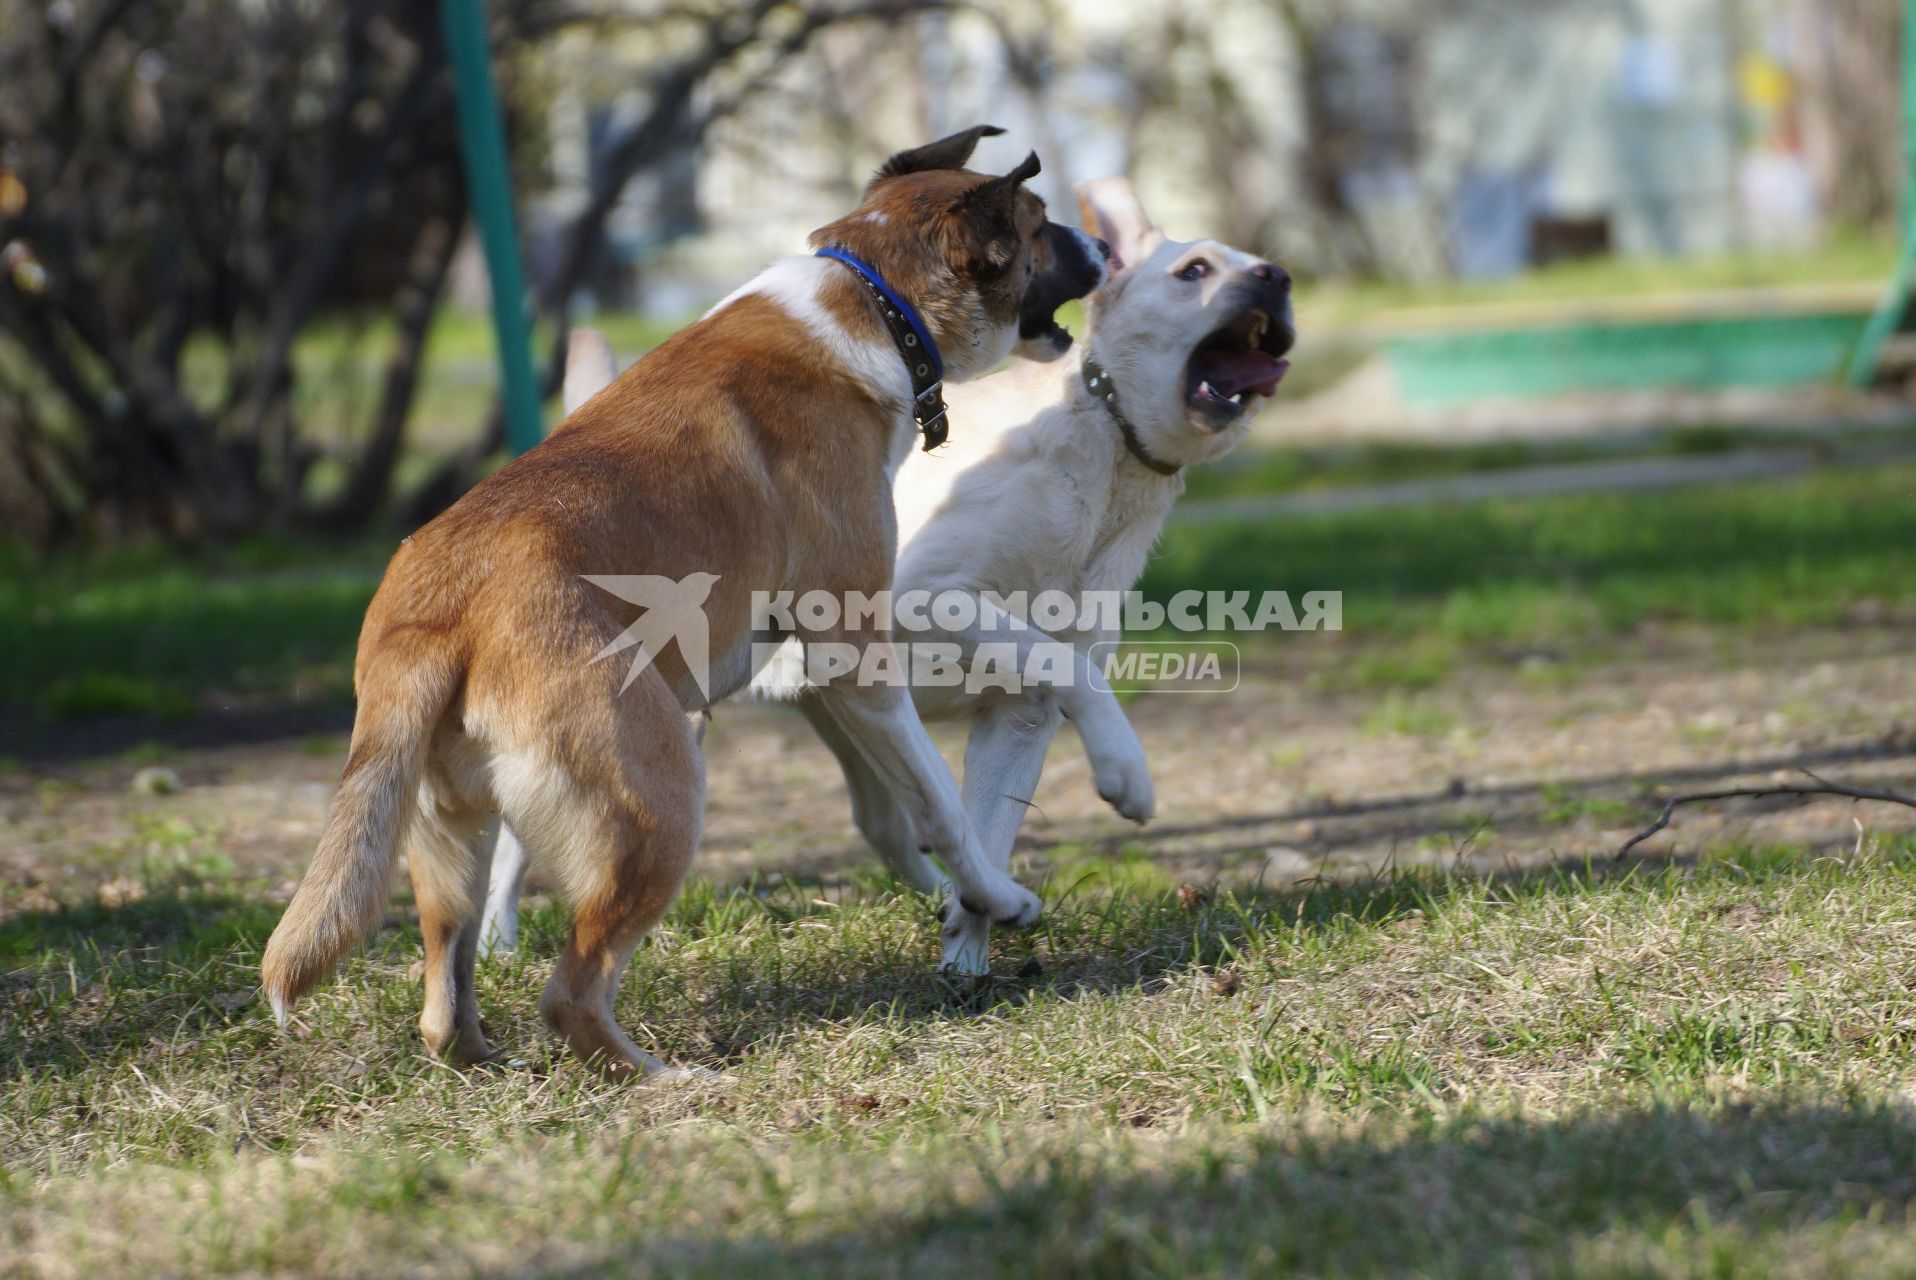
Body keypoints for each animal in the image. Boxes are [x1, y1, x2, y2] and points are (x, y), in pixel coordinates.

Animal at [266, 130, 1111, 1073]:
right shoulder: (855, 656)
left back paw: (495, 1061)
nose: (1104, 251)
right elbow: (942, 804)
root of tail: (432, 614)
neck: (873, 301)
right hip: (661, 805)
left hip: (454, 835)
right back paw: (666, 1079)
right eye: (1039, 227)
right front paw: (999, 898)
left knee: (445, 1007)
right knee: (572, 994)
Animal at [479, 180, 1295, 973]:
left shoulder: (1019, 717)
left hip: (838, 715)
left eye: (1259, 266)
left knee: (885, 823)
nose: (1278, 277)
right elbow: (1065, 666)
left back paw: (939, 896)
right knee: (520, 837)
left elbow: (989, 819)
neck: (1106, 448)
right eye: (1195, 271)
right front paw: (1126, 773)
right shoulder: (920, 597)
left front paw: (970, 947)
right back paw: (496, 943)